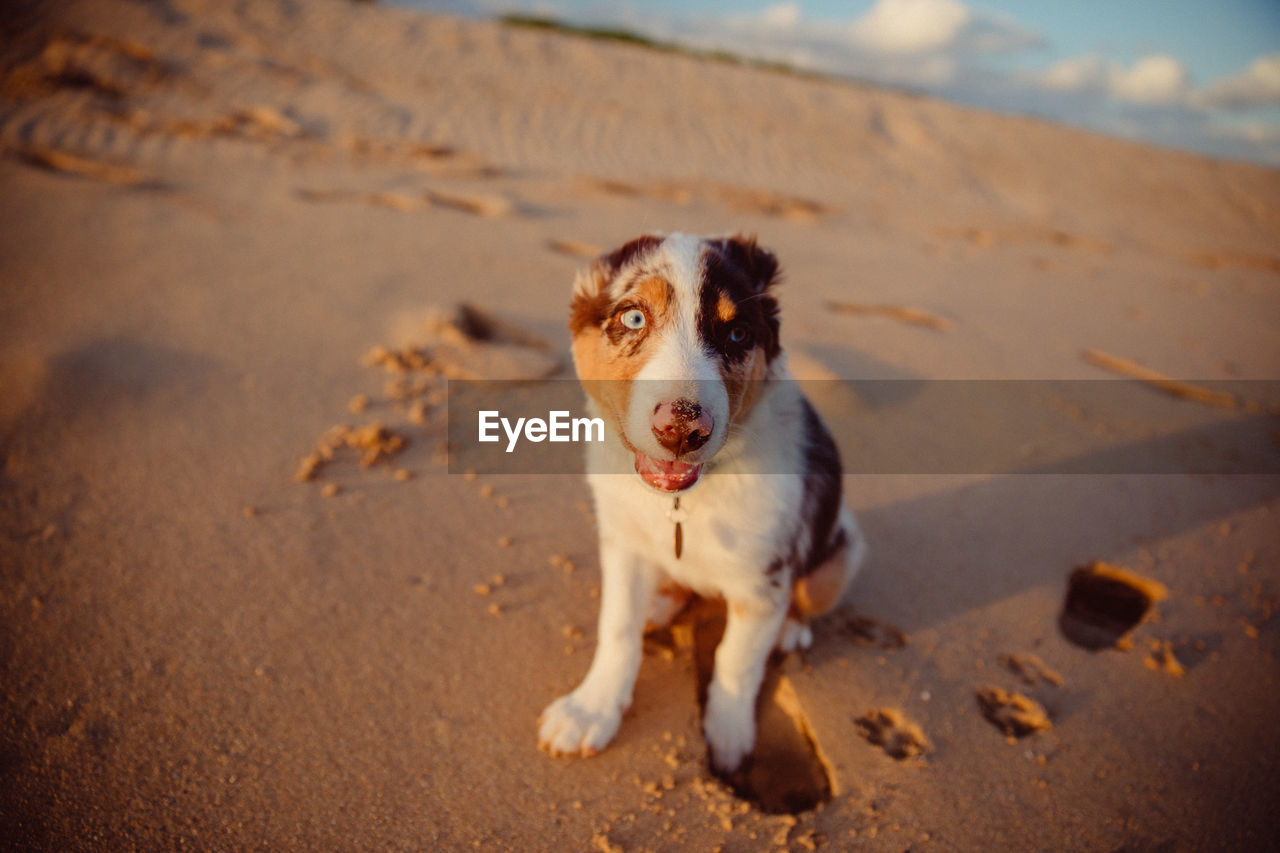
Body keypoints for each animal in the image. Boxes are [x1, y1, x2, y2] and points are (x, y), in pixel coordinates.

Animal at [535, 230, 865, 768]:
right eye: (633, 318)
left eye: (737, 334)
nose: (683, 429)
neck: (683, 501)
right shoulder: (622, 543)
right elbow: (617, 628)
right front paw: (590, 710)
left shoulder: (763, 581)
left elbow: (737, 660)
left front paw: (729, 740)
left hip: (844, 547)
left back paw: (789, 630)